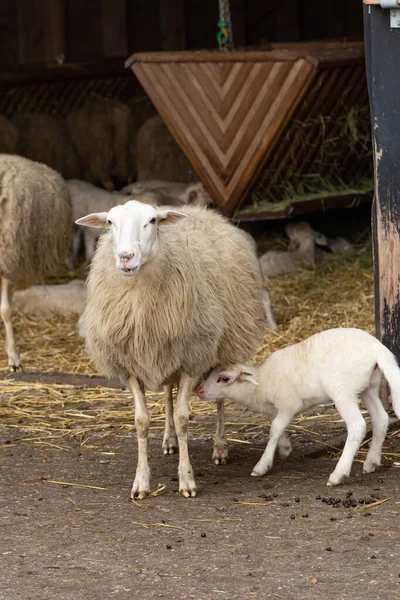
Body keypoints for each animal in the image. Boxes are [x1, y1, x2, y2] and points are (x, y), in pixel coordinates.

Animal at [76, 200, 268, 496]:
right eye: (110, 222)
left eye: (152, 221)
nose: (125, 257)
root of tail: (198, 209)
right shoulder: (131, 366)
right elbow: (142, 421)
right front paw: (141, 481)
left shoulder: (192, 359)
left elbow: (182, 419)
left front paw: (187, 480)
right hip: (167, 354)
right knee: (168, 393)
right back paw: (169, 441)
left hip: (222, 346)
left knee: (220, 399)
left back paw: (220, 447)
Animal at [197, 328, 400, 488]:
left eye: (224, 378)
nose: (200, 391)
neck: (261, 383)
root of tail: (377, 348)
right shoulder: (276, 408)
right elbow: (277, 426)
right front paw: (285, 447)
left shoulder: (289, 404)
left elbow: (275, 428)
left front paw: (263, 465)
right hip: (368, 387)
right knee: (381, 418)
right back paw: (371, 462)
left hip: (343, 390)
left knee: (358, 426)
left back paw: (338, 474)